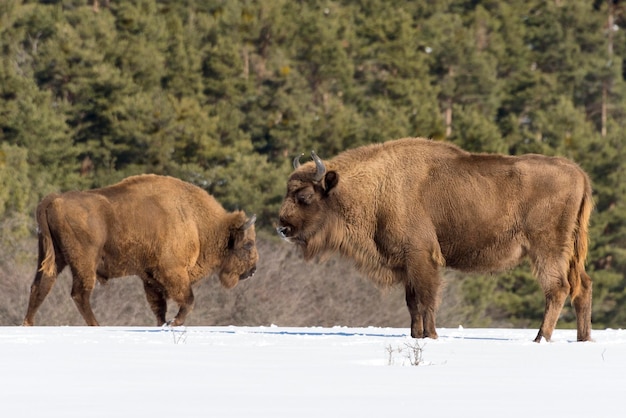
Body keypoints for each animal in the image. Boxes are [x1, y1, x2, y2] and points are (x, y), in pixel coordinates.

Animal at [22, 173, 256, 326]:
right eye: (248, 244)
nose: (253, 270)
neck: (196, 222)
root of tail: (55, 199)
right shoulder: (172, 272)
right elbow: (188, 300)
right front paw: (174, 323)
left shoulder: (150, 278)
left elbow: (160, 307)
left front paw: (163, 324)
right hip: (84, 262)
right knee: (79, 293)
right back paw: (97, 325)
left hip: (53, 257)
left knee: (40, 286)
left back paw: (28, 323)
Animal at [276, 139, 592, 342]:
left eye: (304, 196)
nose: (282, 228)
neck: (377, 187)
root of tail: (578, 172)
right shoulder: (406, 264)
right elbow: (412, 302)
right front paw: (416, 335)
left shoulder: (421, 257)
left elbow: (427, 298)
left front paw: (430, 335)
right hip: (571, 252)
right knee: (583, 286)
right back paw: (583, 338)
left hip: (546, 249)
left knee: (558, 288)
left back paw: (540, 338)